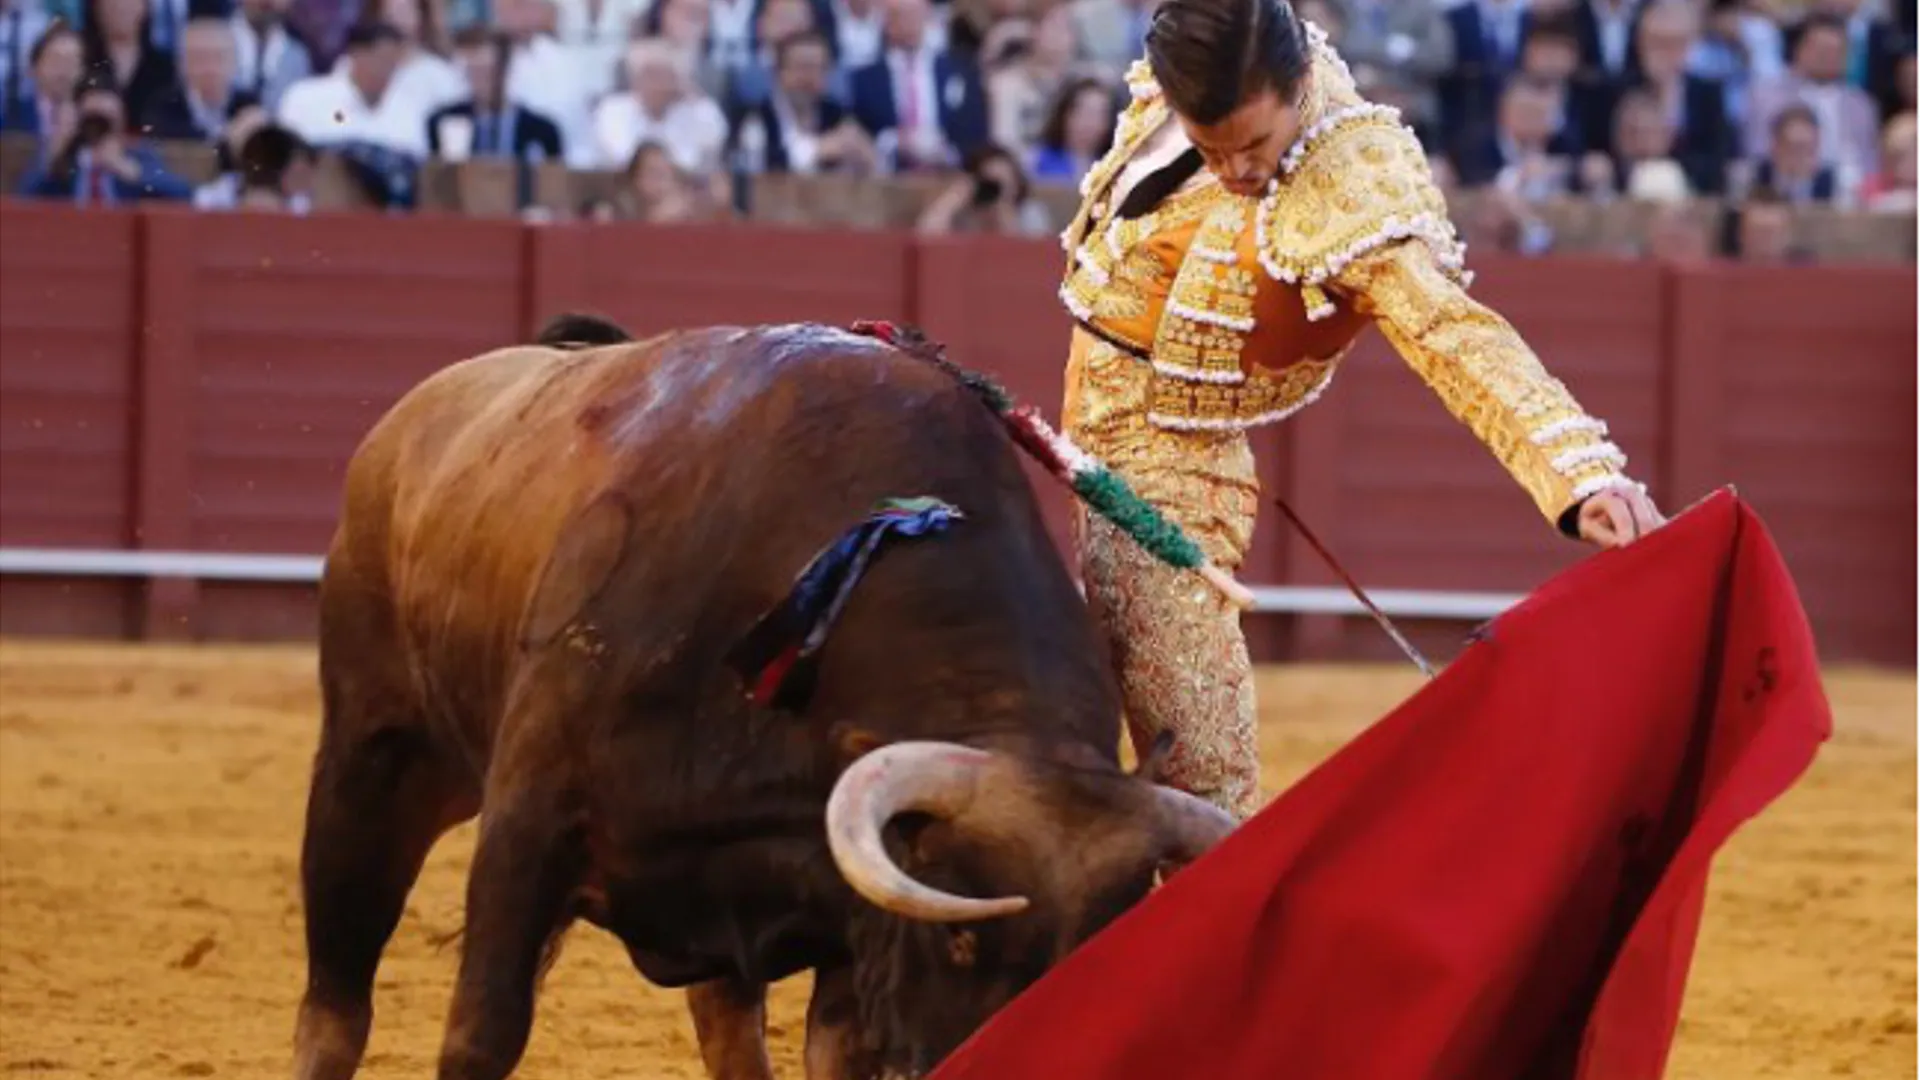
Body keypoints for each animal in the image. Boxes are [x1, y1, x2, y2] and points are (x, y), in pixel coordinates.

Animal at [291, 313, 1236, 1076]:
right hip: (374, 761)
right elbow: (481, 1037)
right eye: (961, 933)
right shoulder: (528, 828)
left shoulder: (851, 922)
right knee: (336, 1001)